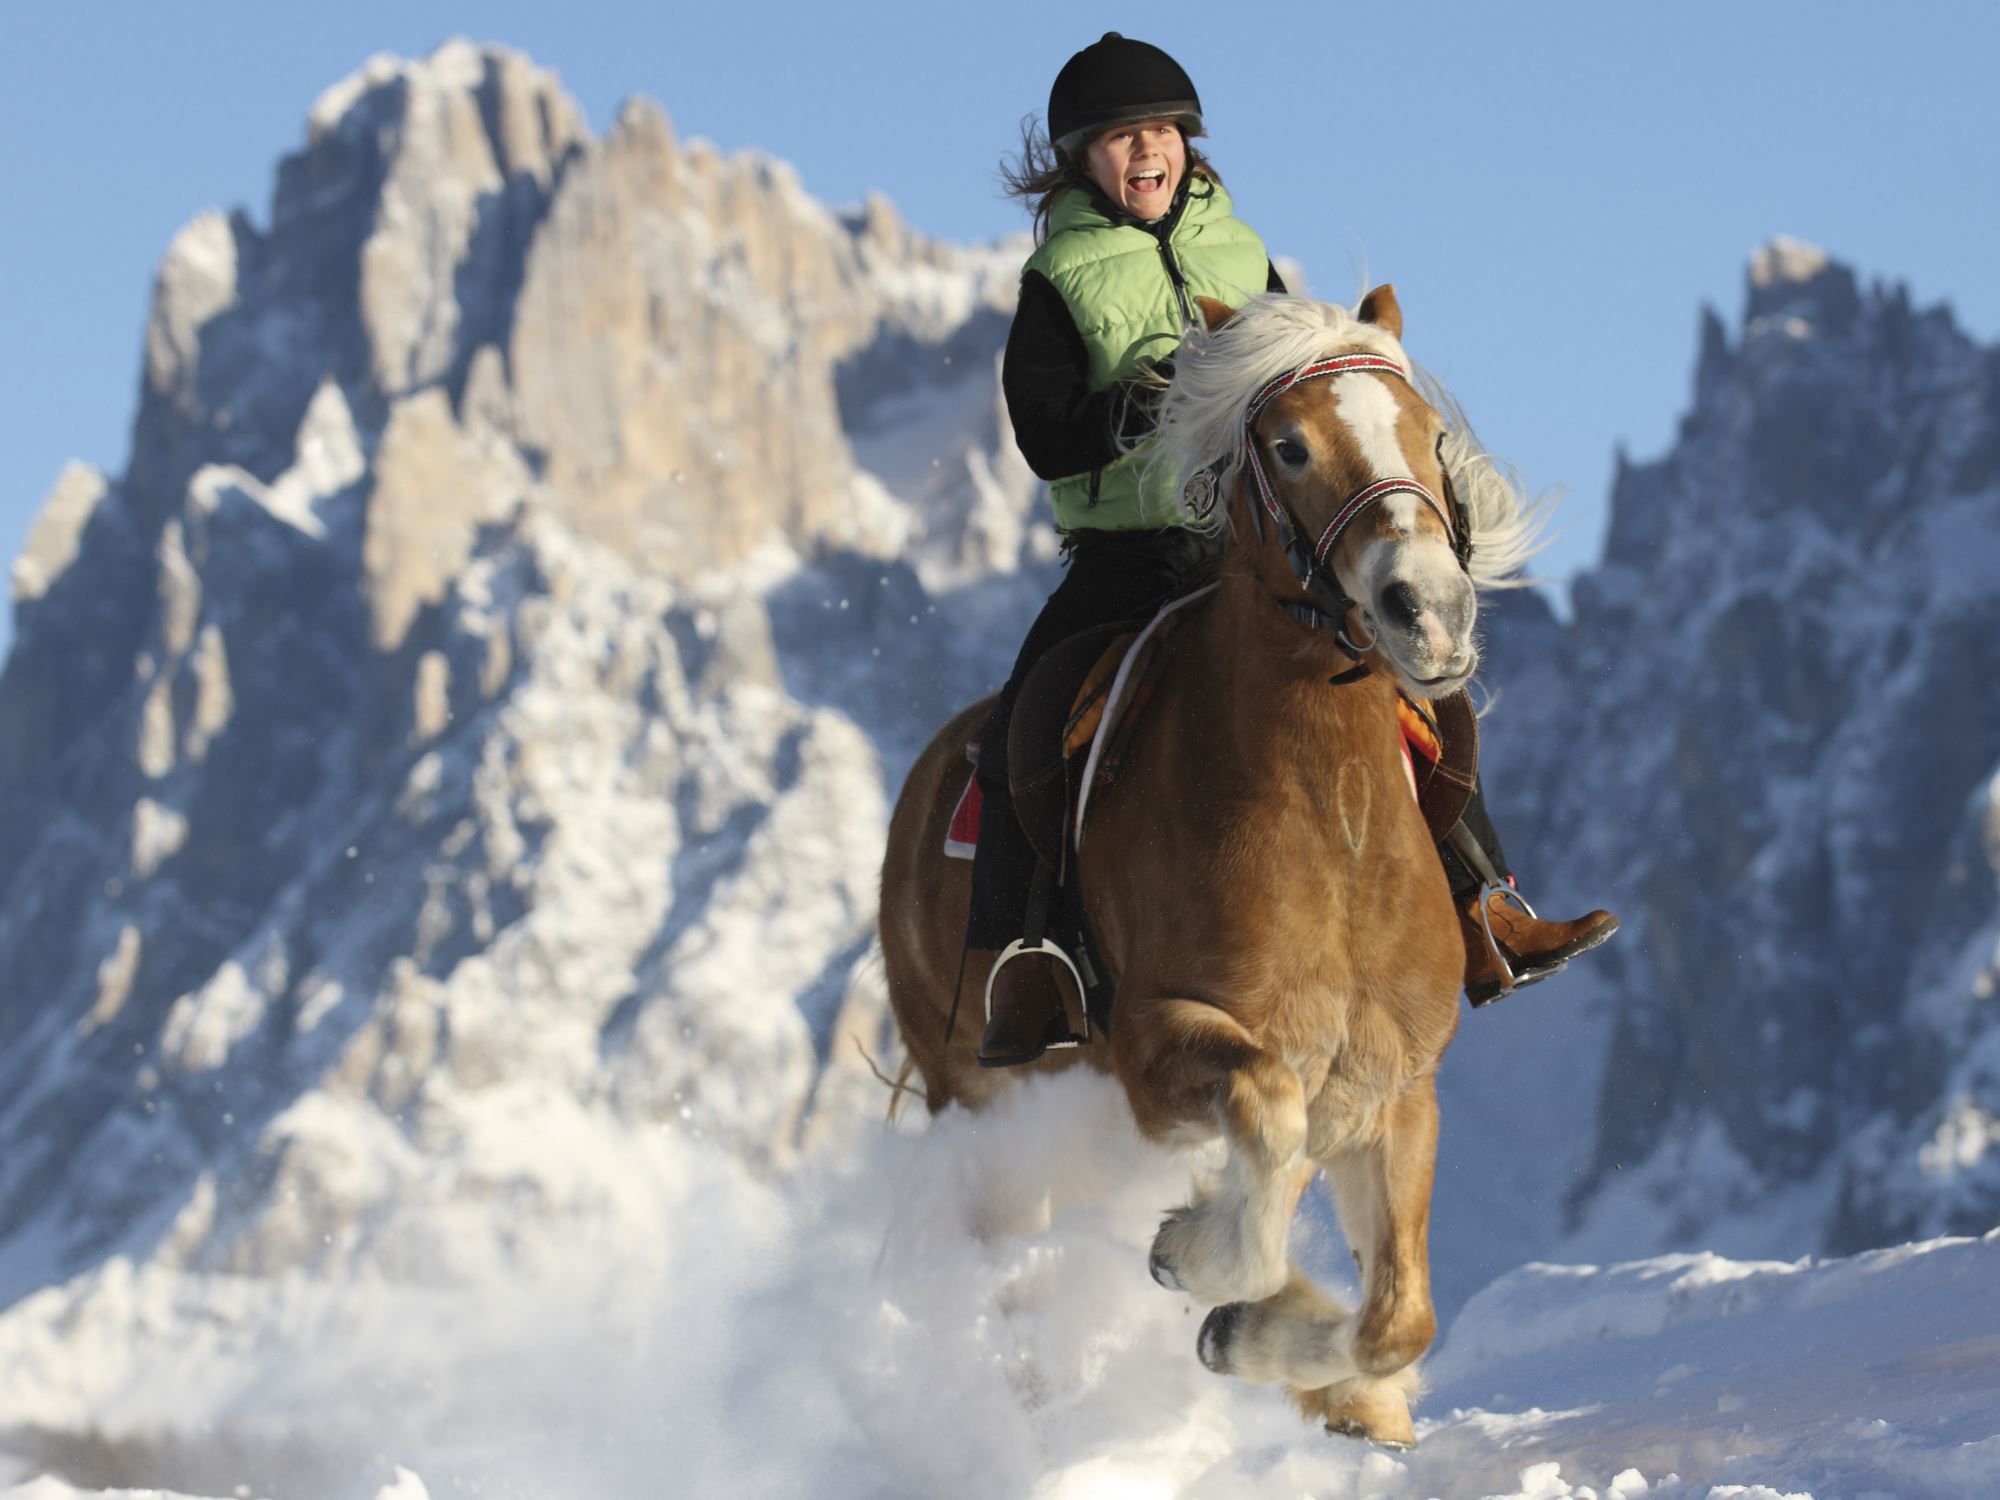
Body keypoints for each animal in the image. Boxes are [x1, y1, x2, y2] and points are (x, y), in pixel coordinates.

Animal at [878, 288, 1539, 1448]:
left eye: (1428, 435)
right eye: (1288, 446)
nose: (1427, 610)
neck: (1329, 832)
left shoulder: (1389, 1086)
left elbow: (1397, 1318)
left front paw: (1290, 1354)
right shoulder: (1158, 1051)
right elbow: (1264, 1130)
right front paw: (1198, 1265)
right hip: (980, 1098)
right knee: (1012, 1265)